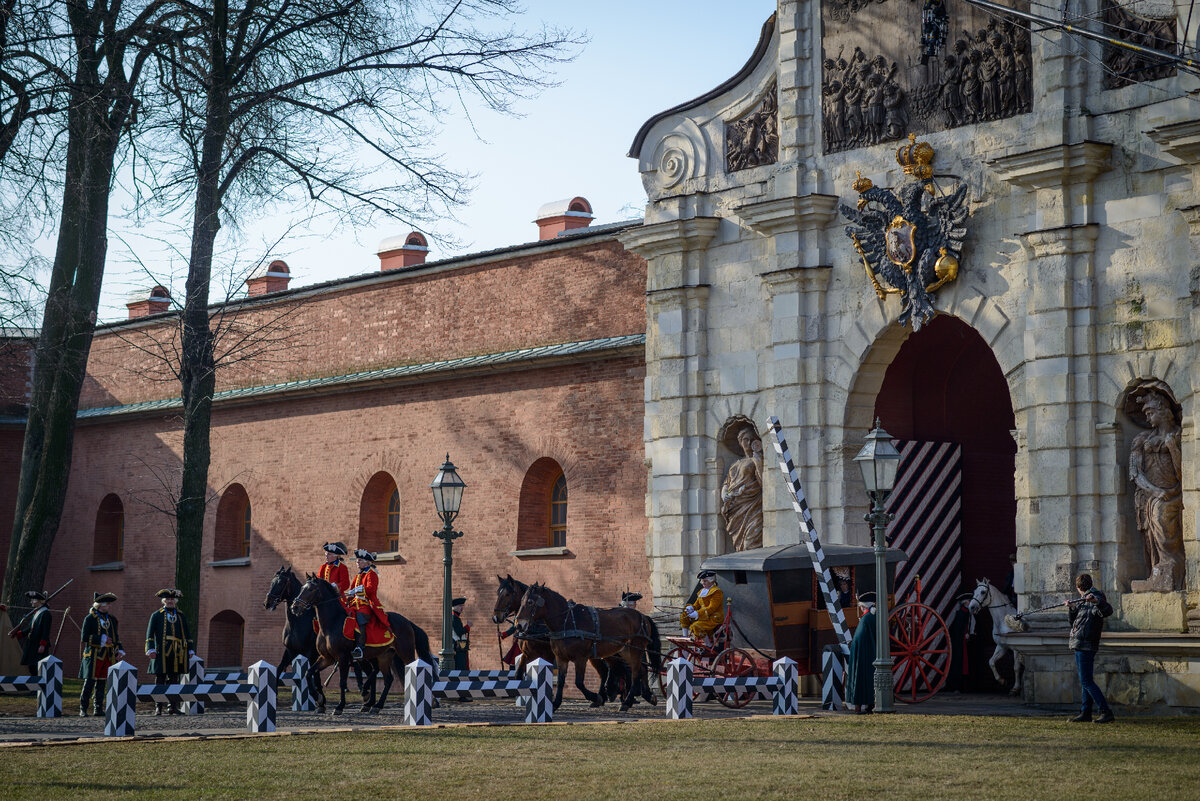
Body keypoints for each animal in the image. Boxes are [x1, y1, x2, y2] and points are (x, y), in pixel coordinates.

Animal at [516, 582, 667, 714]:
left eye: (530, 602)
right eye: (521, 600)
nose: (519, 625)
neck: (567, 622)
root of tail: (642, 616)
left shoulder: (580, 658)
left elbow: (579, 683)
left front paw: (596, 697)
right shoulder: (561, 658)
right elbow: (560, 682)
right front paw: (555, 704)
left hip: (636, 649)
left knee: (635, 673)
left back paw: (627, 702)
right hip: (626, 651)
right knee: (642, 670)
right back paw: (647, 696)